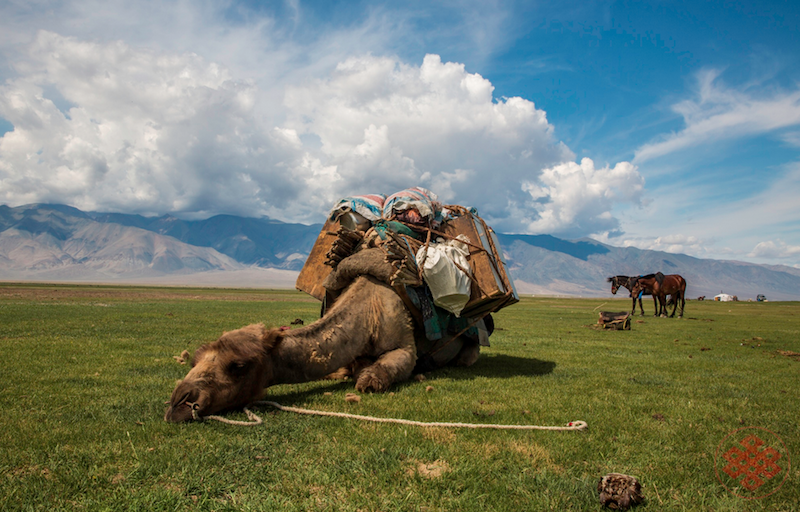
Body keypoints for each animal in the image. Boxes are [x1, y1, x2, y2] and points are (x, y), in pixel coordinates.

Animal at [164, 249, 482, 424]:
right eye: (195, 358)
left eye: (238, 366)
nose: (179, 402)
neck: (368, 310)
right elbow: (348, 368)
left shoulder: (404, 343)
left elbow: (386, 367)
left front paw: (368, 380)